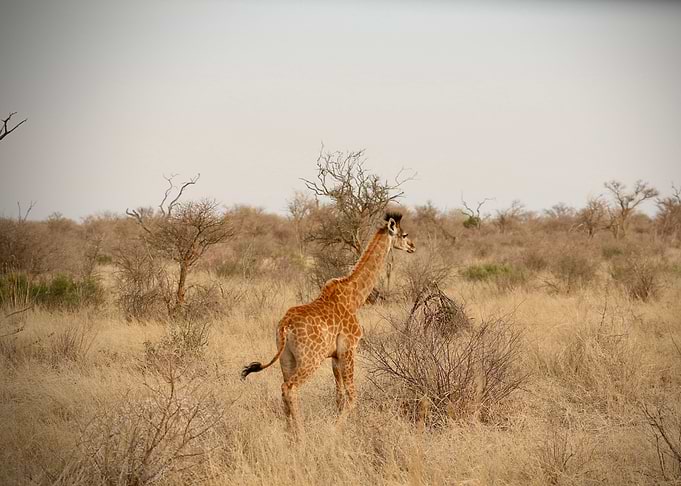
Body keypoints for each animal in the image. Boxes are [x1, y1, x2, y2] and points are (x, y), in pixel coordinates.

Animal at [241, 211, 415, 435]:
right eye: (404, 234)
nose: (412, 246)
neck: (355, 297)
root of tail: (285, 326)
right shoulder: (349, 348)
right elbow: (352, 397)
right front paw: (336, 430)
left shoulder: (334, 356)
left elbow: (339, 397)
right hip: (310, 359)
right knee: (290, 388)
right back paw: (301, 434)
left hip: (286, 359)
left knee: (283, 389)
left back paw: (289, 433)